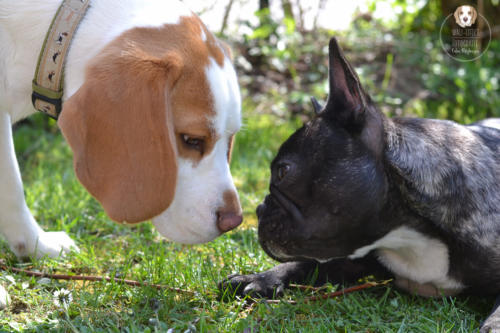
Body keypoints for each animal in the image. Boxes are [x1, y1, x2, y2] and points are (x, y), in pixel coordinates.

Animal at [222, 38, 500, 330]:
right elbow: (305, 265)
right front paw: (259, 278)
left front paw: (493, 325)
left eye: (283, 171)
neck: (406, 234)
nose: (259, 209)